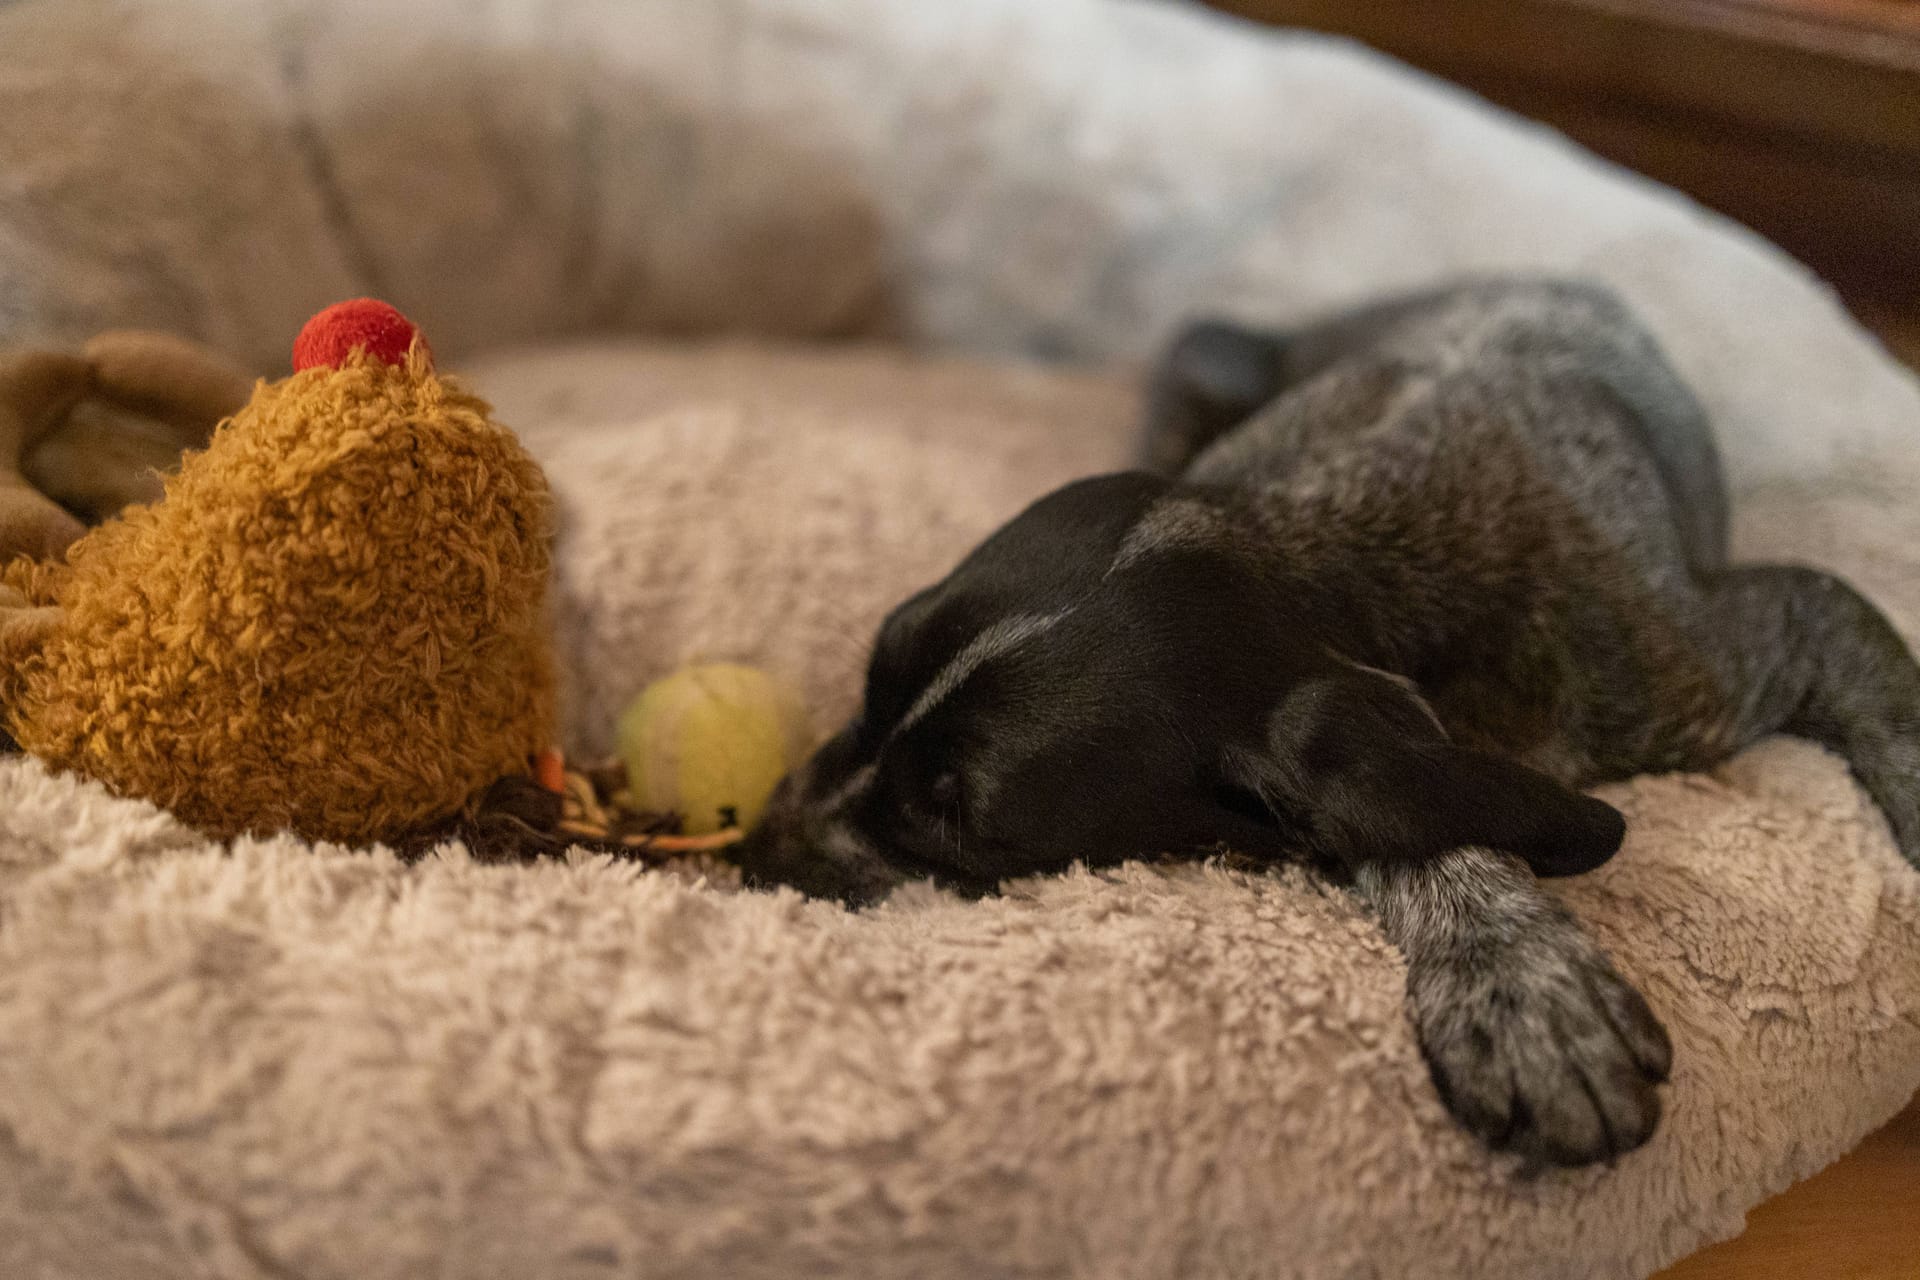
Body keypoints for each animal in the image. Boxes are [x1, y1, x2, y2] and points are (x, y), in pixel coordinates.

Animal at [729, 280, 1920, 1174]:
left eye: (957, 825)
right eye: (870, 679)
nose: (751, 852)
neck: (1327, 547)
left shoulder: (1746, 642)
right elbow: (1402, 805)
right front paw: (1512, 969)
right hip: (1204, 355)